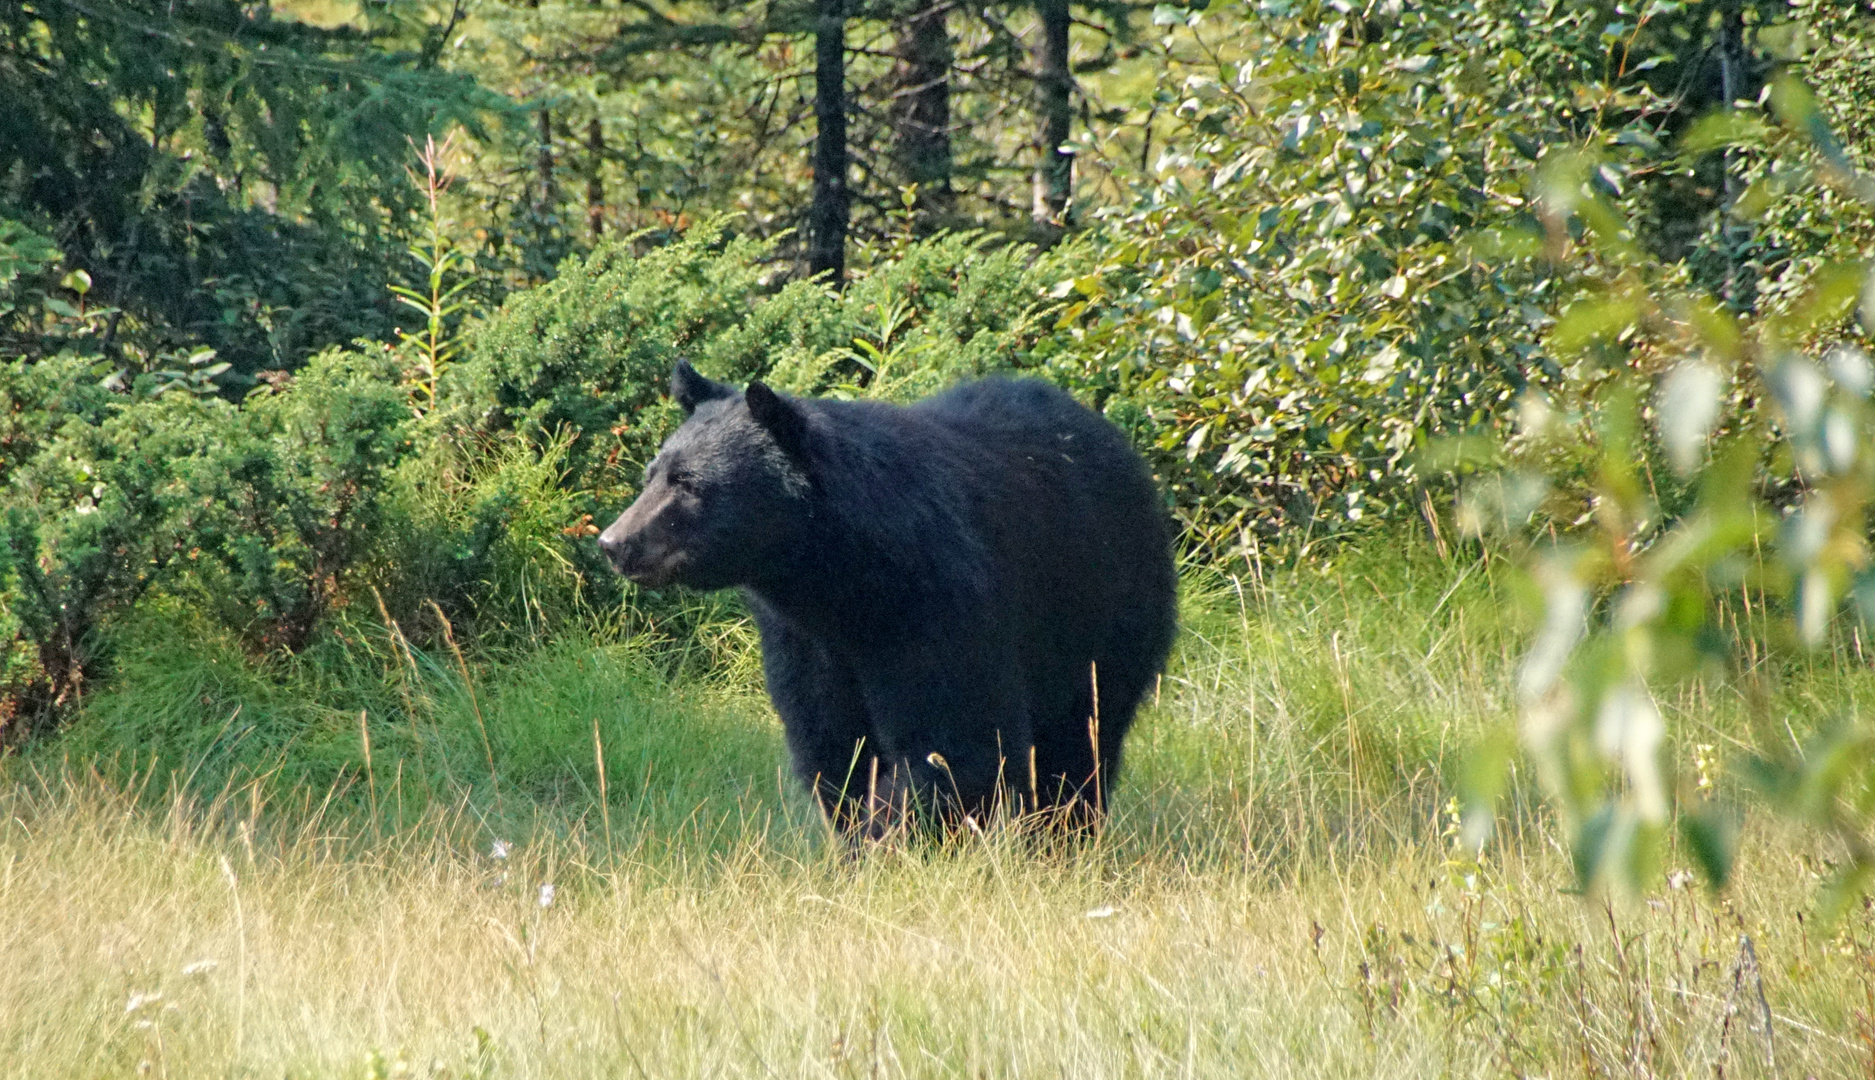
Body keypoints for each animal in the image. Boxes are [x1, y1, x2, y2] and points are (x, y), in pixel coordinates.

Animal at [600, 363, 1170, 836]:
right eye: (651, 474)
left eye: (687, 483)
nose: (614, 543)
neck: (842, 582)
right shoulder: (805, 638)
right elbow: (833, 746)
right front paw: (860, 838)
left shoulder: (937, 603)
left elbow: (950, 736)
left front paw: (892, 838)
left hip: (1104, 609)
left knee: (1082, 737)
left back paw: (1062, 834)